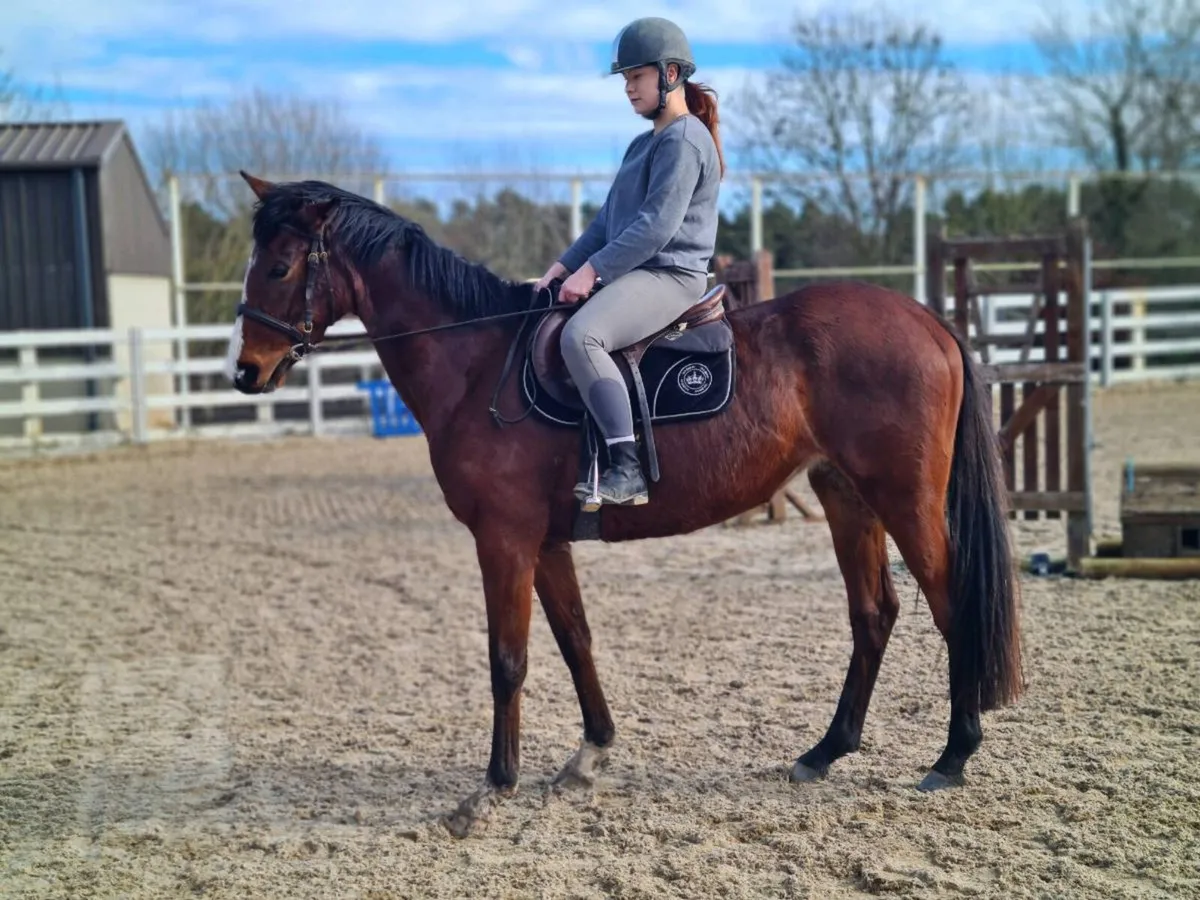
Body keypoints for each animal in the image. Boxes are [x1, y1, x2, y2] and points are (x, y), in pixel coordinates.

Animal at [226, 170, 1024, 838]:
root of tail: (925, 319)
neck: (479, 362)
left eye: (279, 267)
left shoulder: (503, 539)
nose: (245, 372)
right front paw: (589, 755)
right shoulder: (544, 542)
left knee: (952, 605)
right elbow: (575, 639)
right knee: (873, 613)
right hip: (846, 495)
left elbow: (507, 659)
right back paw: (825, 751)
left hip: (903, 498)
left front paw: (491, 789)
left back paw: (953, 756)